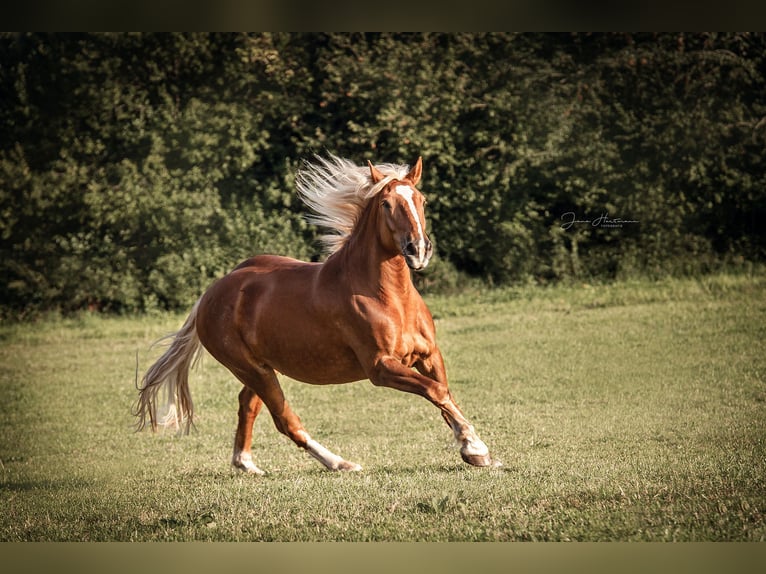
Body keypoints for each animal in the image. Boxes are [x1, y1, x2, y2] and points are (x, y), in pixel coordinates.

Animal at [136, 155, 498, 474]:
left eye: (421, 200)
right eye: (386, 204)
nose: (418, 249)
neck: (388, 297)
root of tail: (213, 292)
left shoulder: (428, 355)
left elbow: (445, 395)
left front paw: (475, 450)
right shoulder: (380, 367)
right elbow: (436, 392)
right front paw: (476, 448)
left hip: (261, 369)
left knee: (247, 405)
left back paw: (246, 464)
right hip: (252, 369)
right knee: (285, 421)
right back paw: (341, 463)